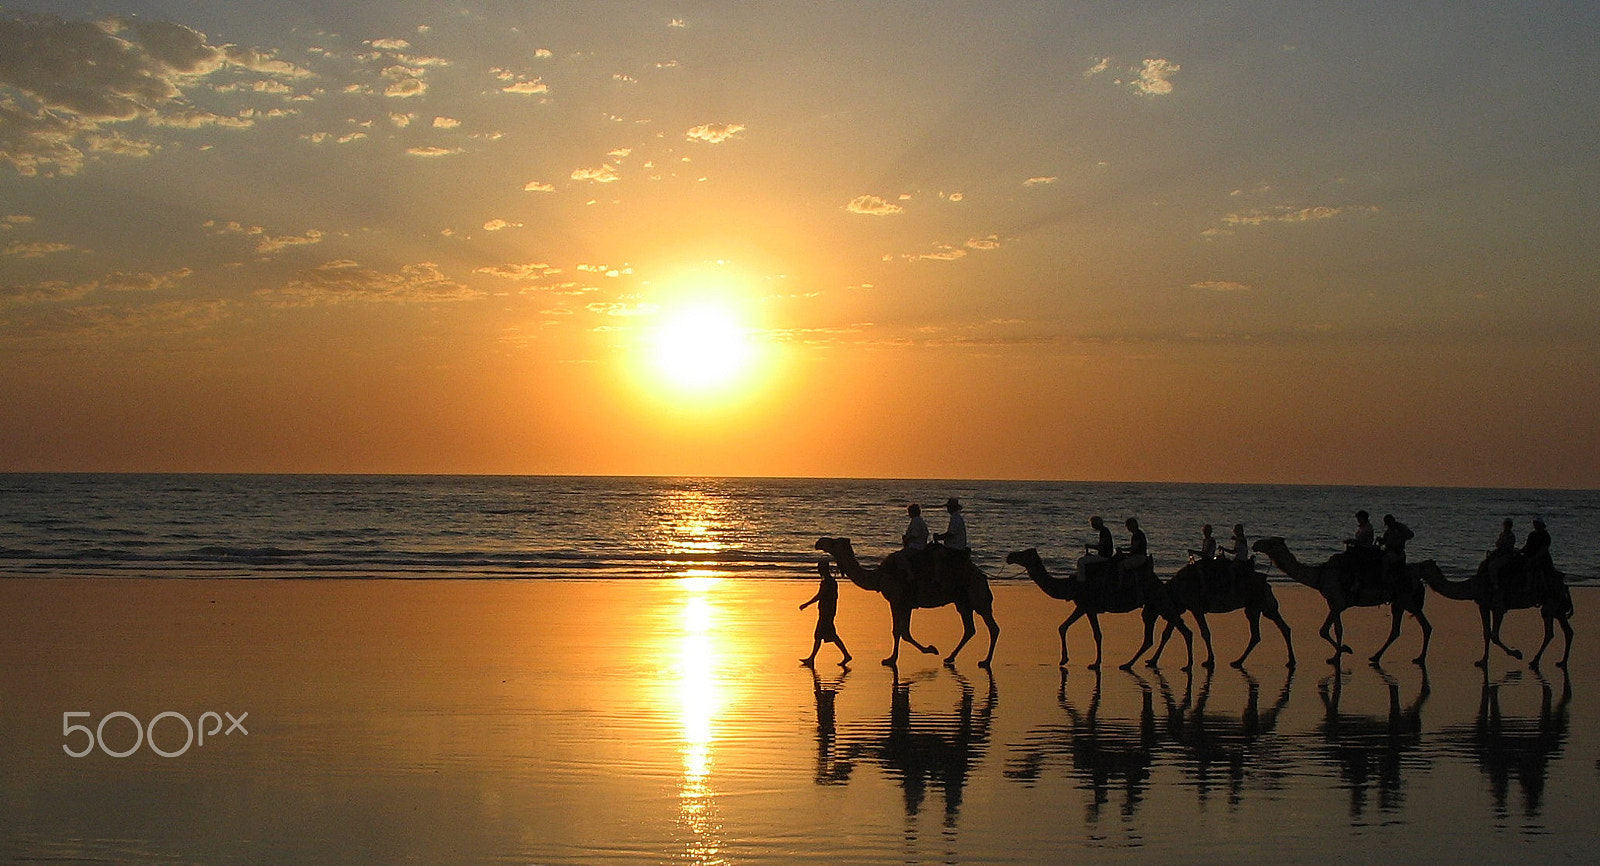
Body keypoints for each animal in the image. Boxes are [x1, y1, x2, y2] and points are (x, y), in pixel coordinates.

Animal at [819, 534, 992, 669]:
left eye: (833, 542)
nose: (819, 541)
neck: (879, 576)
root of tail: (981, 575)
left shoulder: (898, 601)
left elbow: (900, 631)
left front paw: (895, 658)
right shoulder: (903, 603)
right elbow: (902, 632)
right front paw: (925, 650)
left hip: (977, 597)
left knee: (992, 628)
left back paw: (984, 661)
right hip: (963, 602)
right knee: (970, 629)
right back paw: (951, 658)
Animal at [1011, 547, 1190, 669]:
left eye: (1023, 554)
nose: (1009, 556)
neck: (1071, 585)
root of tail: (1158, 580)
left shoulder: (1086, 606)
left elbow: (1095, 634)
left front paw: (1095, 663)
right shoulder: (1084, 607)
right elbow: (1064, 627)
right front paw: (1065, 659)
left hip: (1159, 600)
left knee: (1184, 630)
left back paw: (1186, 665)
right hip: (1152, 607)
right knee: (1152, 637)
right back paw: (1131, 663)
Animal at [1145, 557, 1292, 672]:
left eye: (1147, 615)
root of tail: (1266, 583)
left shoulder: (1195, 607)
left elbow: (1205, 632)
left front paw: (1209, 660)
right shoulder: (1178, 608)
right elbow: (1166, 634)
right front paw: (1152, 660)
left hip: (1258, 604)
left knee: (1264, 632)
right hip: (1259, 607)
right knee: (1277, 629)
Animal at [1248, 534, 1440, 669]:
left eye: (1270, 543)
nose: (1255, 544)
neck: (1319, 575)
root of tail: (1418, 578)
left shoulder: (1338, 602)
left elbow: (1324, 630)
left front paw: (1342, 652)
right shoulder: (1333, 603)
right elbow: (1336, 629)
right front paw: (1338, 654)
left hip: (1404, 599)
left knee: (1412, 627)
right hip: (1403, 602)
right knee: (1417, 627)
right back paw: (1391, 657)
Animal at [1420, 560, 1568, 669]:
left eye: (1422, 565)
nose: (1414, 566)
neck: (1474, 586)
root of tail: (1563, 583)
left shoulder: (1498, 607)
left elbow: (1494, 635)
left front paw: (1517, 653)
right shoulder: (1483, 605)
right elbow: (1486, 633)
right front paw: (1482, 661)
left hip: (1550, 601)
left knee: (1549, 631)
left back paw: (1535, 661)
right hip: (1558, 607)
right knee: (1568, 631)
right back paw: (1561, 661)